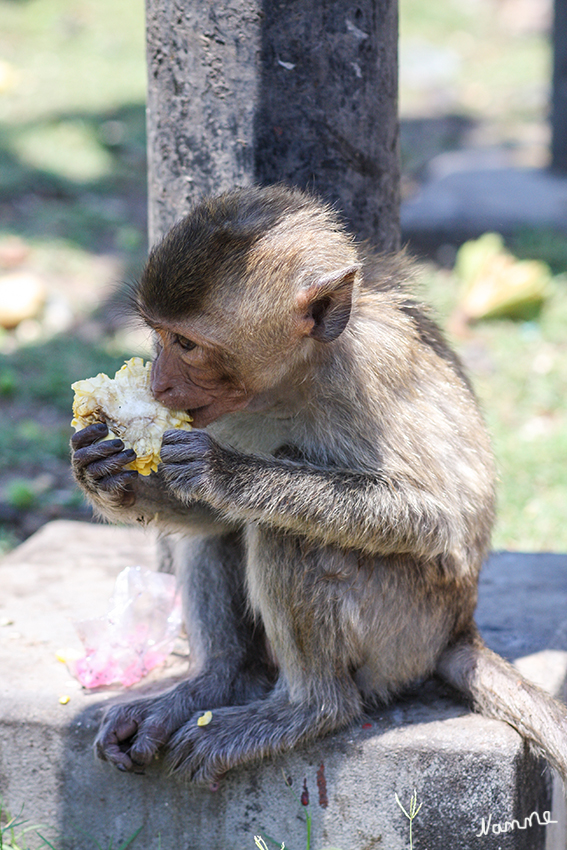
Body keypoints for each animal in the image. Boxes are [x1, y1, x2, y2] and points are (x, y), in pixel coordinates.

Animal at [72, 186, 567, 780]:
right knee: (220, 534)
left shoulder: (369, 374)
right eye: (159, 335)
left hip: (406, 628)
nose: (158, 382)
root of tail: (460, 624)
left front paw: (225, 473)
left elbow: (435, 518)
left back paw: (308, 710)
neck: (293, 379)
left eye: (185, 344)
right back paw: (218, 682)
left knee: (289, 533)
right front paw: (103, 474)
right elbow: (207, 511)